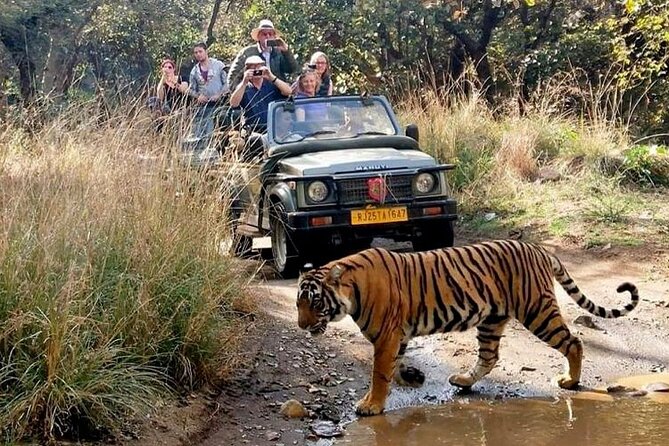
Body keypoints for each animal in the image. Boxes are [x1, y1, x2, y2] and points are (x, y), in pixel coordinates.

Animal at [296, 240, 639, 416]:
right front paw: (412, 377)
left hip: (537, 311)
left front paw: (371, 405)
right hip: (492, 320)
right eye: (298, 304)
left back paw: (571, 380)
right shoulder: (397, 336)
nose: (301, 325)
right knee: (489, 357)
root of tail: (538, 249)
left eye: (315, 302)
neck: (351, 292)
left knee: (573, 341)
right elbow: (393, 366)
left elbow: (379, 373)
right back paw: (462, 380)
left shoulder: (387, 336)